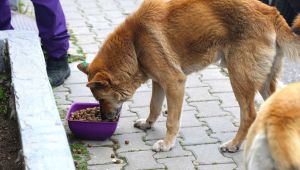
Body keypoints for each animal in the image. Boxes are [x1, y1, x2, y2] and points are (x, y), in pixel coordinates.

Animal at [77, 0, 300, 151]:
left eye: (101, 99)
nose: (103, 119)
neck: (134, 42)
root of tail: (271, 12)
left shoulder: (174, 83)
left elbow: (171, 121)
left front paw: (167, 144)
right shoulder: (159, 82)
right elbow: (154, 107)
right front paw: (148, 124)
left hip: (239, 78)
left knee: (249, 115)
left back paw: (234, 144)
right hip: (263, 82)